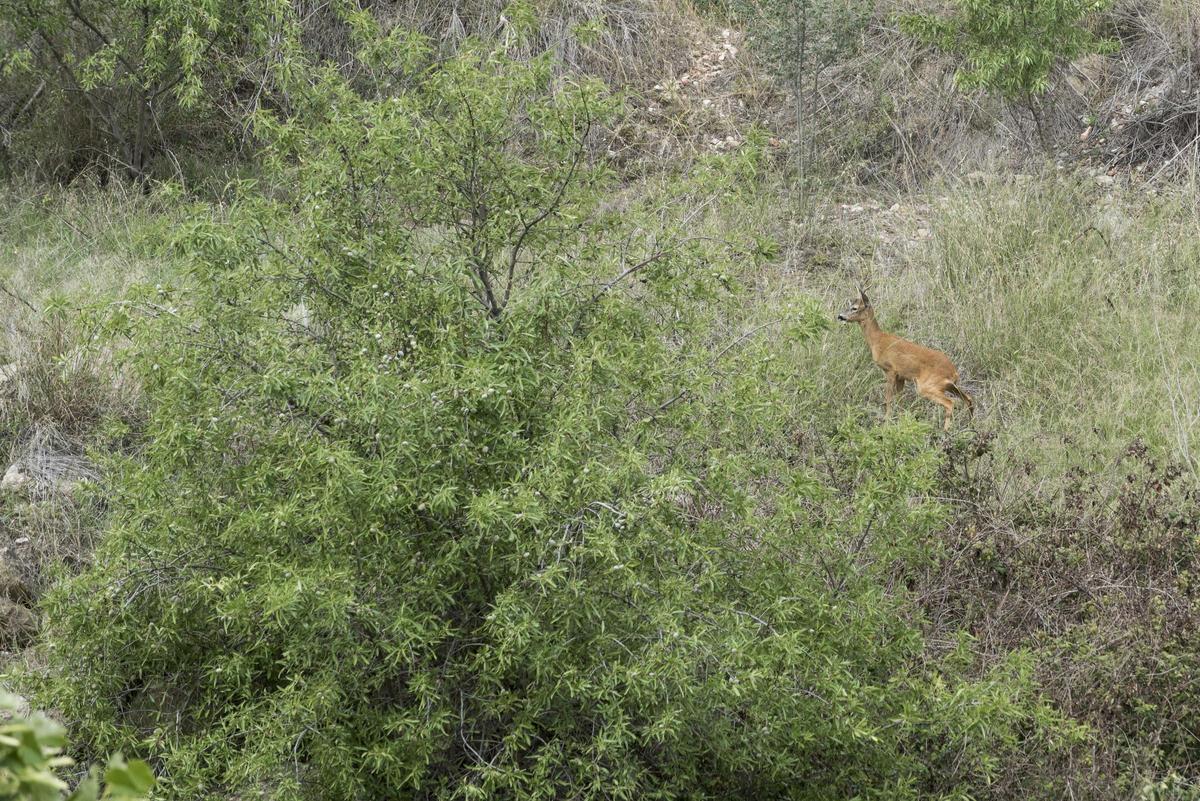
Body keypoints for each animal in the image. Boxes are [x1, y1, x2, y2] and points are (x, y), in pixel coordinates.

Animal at [835, 288, 974, 431]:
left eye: (854, 308)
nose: (840, 316)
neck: (877, 340)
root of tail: (954, 372)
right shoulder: (901, 376)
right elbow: (899, 400)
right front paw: (901, 421)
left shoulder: (890, 370)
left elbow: (888, 398)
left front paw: (887, 422)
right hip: (948, 385)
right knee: (968, 399)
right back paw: (971, 425)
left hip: (927, 385)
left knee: (950, 402)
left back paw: (945, 431)